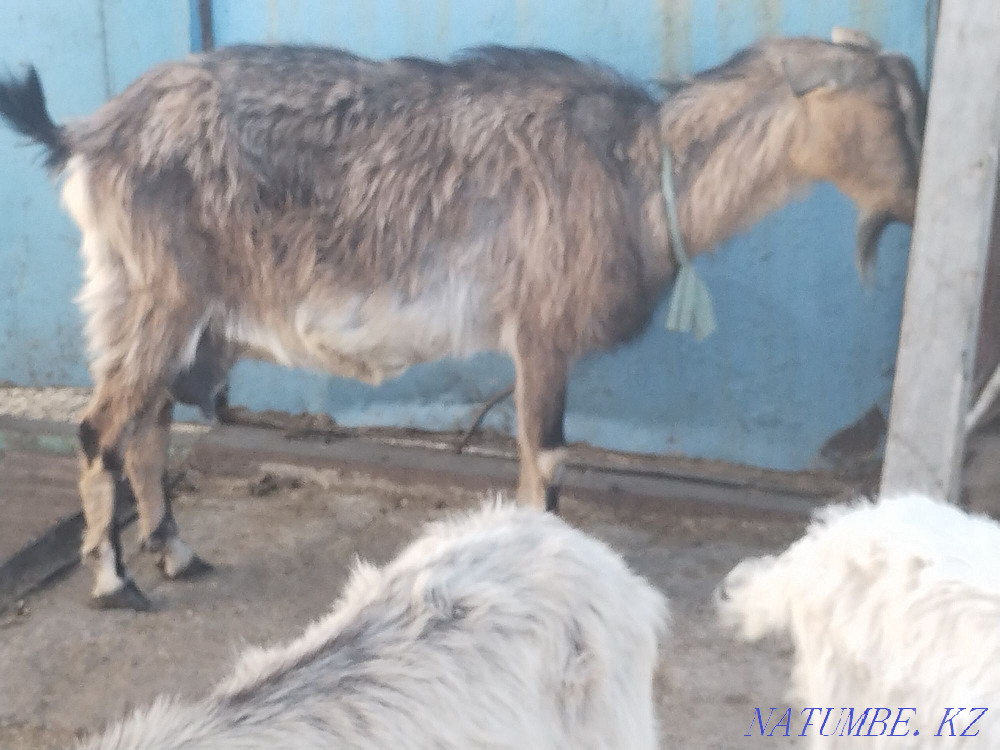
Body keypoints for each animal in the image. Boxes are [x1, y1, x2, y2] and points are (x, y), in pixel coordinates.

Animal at [0, 30, 924, 609]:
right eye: (887, 112)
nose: (920, 202)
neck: (638, 170)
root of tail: (91, 131)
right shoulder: (541, 330)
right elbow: (545, 460)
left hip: (171, 310)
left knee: (149, 425)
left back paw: (179, 554)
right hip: (158, 297)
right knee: (99, 428)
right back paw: (116, 584)